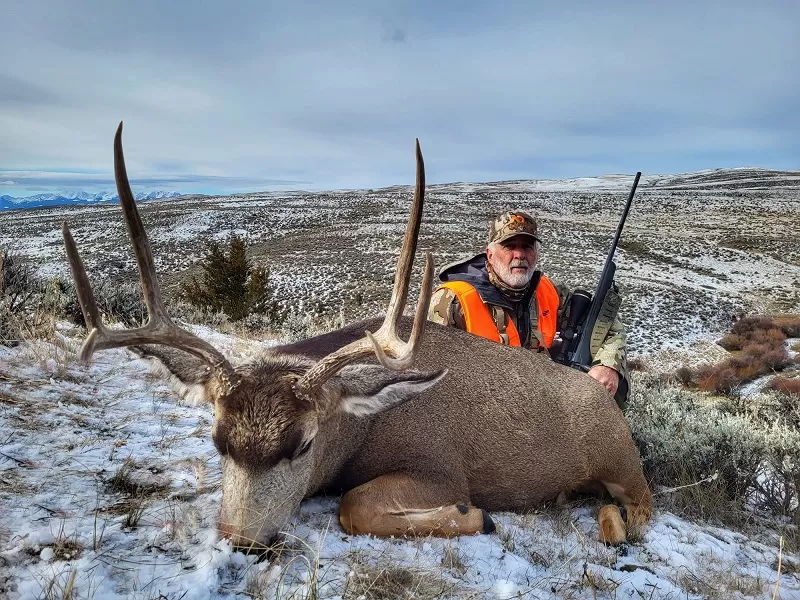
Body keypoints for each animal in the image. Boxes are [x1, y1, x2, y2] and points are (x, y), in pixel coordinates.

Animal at [62, 123, 648, 552]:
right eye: (217, 441)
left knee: (643, 504)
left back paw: (612, 522)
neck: (360, 431)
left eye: (304, 443)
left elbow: (354, 507)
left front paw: (476, 516)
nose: (243, 541)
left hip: (620, 460)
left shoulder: (440, 467)